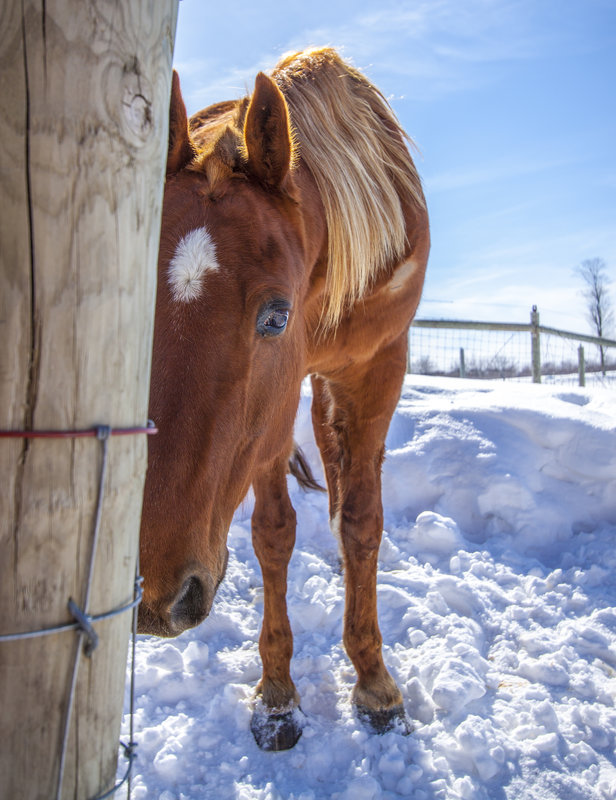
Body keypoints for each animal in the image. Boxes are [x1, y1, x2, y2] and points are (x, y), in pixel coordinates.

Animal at [138, 48, 428, 752]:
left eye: (276, 316)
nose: (156, 592)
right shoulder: (269, 418)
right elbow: (273, 534)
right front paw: (277, 696)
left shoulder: (378, 366)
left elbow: (362, 522)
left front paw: (375, 683)